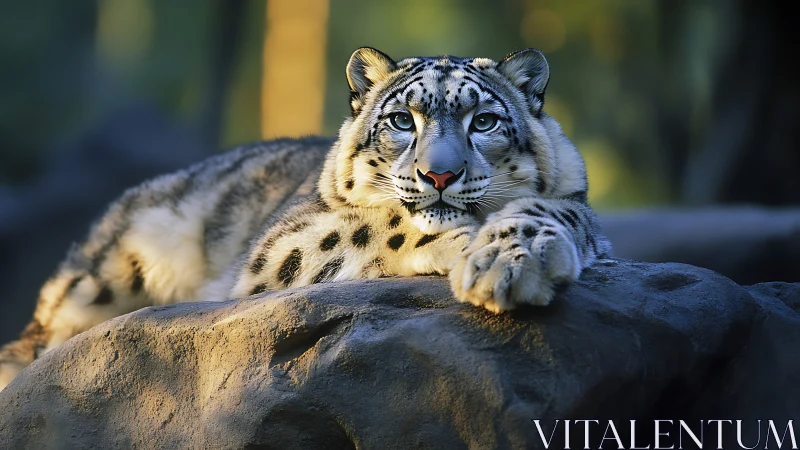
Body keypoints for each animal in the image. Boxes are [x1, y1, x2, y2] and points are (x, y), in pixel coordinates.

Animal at [0, 47, 611, 391]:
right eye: (401, 120)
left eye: (483, 121)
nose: (438, 175)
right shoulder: (280, 245)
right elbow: (374, 223)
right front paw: (458, 242)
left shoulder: (576, 206)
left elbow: (551, 213)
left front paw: (512, 262)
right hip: (109, 269)